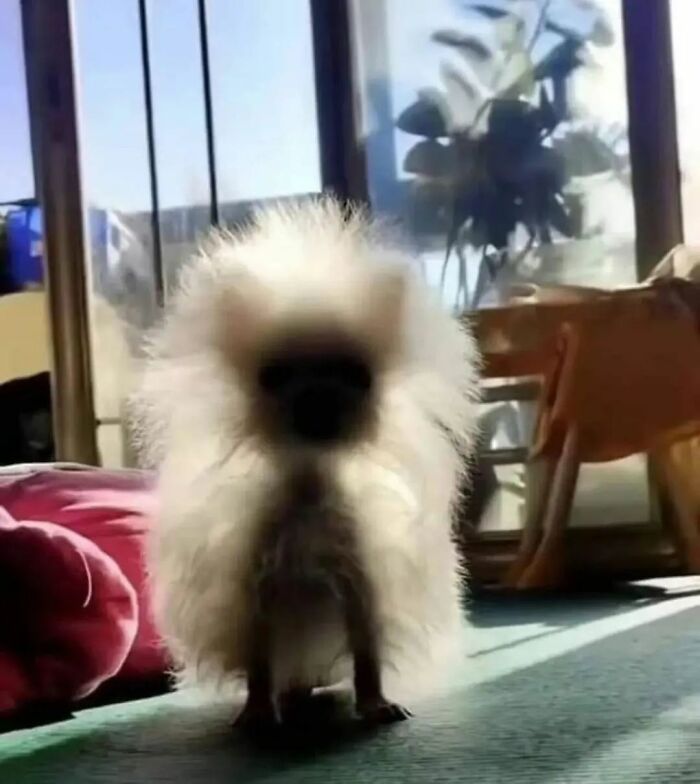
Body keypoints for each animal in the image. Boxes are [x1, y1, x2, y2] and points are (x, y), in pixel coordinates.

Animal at [131, 196, 478, 728]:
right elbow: (257, 659)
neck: (310, 489)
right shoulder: (256, 590)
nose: (317, 398)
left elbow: (367, 650)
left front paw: (375, 704)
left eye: (355, 375)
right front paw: (257, 711)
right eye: (274, 376)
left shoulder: (359, 581)